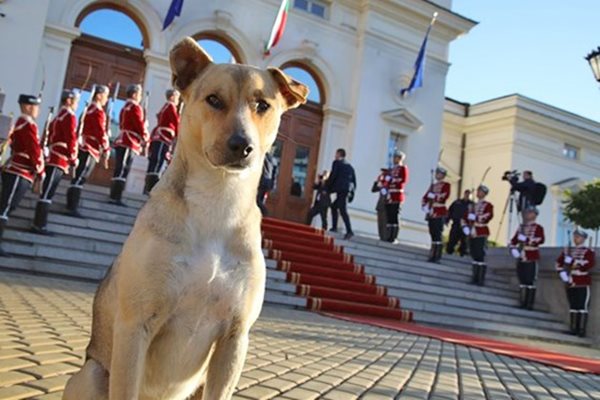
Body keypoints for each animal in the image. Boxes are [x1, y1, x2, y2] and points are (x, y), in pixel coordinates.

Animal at [63, 36, 308, 398]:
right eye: (213, 99)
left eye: (263, 105)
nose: (242, 145)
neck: (217, 200)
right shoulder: (135, 327)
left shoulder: (234, 338)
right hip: (91, 373)